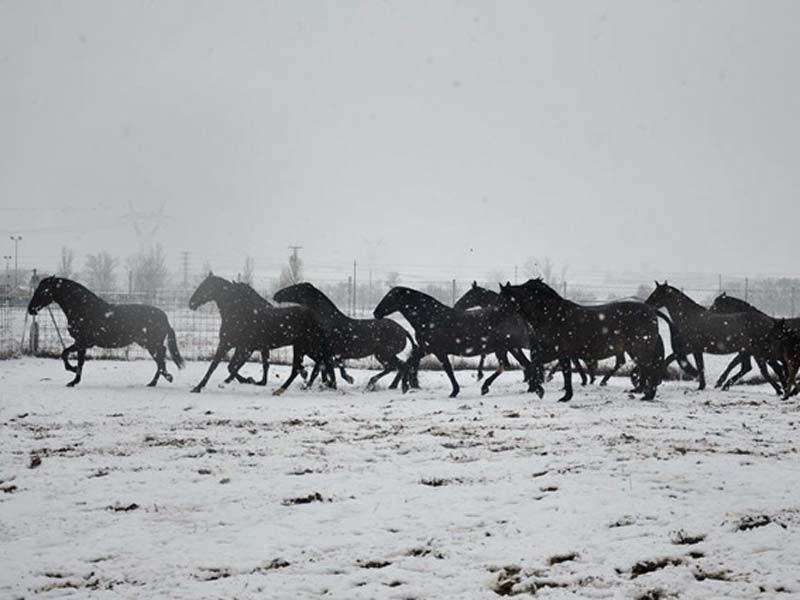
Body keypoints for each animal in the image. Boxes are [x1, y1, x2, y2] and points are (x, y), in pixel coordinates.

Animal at [189, 274, 332, 394]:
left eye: (205, 287)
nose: (191, 303)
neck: (239, 314)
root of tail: (317, 318)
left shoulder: (245, 348)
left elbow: (232, 367)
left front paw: (247, 380)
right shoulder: (227, 344)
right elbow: (216, 365)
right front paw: (198, 387)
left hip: (305, 347)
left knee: (311, 364)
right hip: (306, 348)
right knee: (317, 363)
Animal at [274, 284, 416, 392]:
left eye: (296, 288)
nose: (276, 294)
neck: (326, 321)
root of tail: (404, 330)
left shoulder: (325, 353)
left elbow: (320, 370)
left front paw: (315, 386)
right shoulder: (328, 354)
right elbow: (330, 369)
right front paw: (338, 381)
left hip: (383, 353)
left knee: (399, 366)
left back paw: (395, 386)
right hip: (383, 354)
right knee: (397, 366)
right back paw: (389, 385)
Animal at [372, 288, 540, 398]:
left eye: (390, 297)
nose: (376, 313)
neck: (431, 317)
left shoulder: (438, 351)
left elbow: (447, 369)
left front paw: (454, 391)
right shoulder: (425, 349)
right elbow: (409, 362)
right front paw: (405, 385)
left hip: (509, 347)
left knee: (517, 364)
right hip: (509, 348)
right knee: (521, 364)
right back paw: (530, 387)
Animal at [500, 278, 668, 400]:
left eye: (504, 300)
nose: (496, 316)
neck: (552, 315)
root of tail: (651, 311)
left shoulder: (556, 351)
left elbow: (537, 365)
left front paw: (540, 390)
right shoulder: (557, 354)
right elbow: (560, 371)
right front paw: (565, 396)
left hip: (638, 349)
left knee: (648, 369)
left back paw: (647, 395)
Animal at [644, 284, 788, 396]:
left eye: (656, 294)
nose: (646, 305)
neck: (690, 317)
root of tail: (770, 323)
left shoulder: (691, 348)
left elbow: (673, 360)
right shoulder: (695, 350)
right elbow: (697, 365)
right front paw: (702, 385)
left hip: (757, 351)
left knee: (768, 369)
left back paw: (781, 390)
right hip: (752, 351)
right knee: (757, 368)